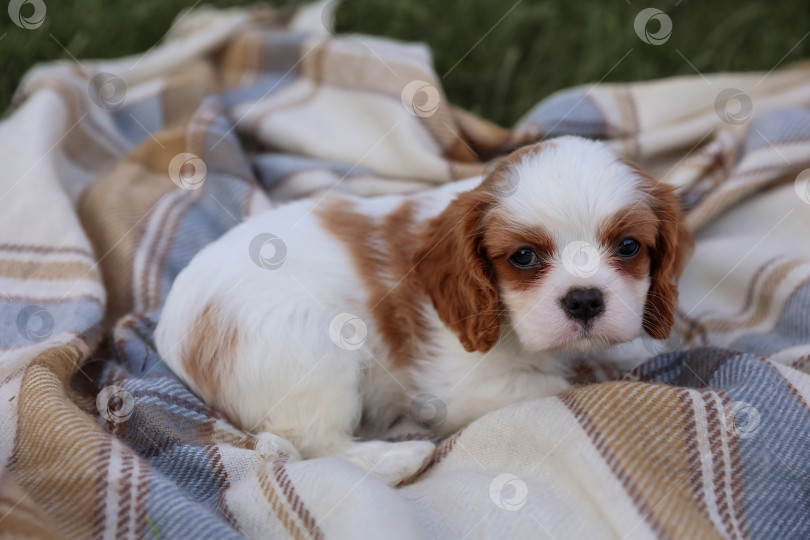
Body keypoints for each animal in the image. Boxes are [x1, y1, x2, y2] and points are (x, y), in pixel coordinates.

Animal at [155, 135, 692, 486]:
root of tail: (168, 332)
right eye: (523, 257)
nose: (583, 298)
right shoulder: (464, 388)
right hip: (313, 344)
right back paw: (400, 458)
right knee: (313, 443)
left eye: (628, 247)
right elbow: (570, 385)